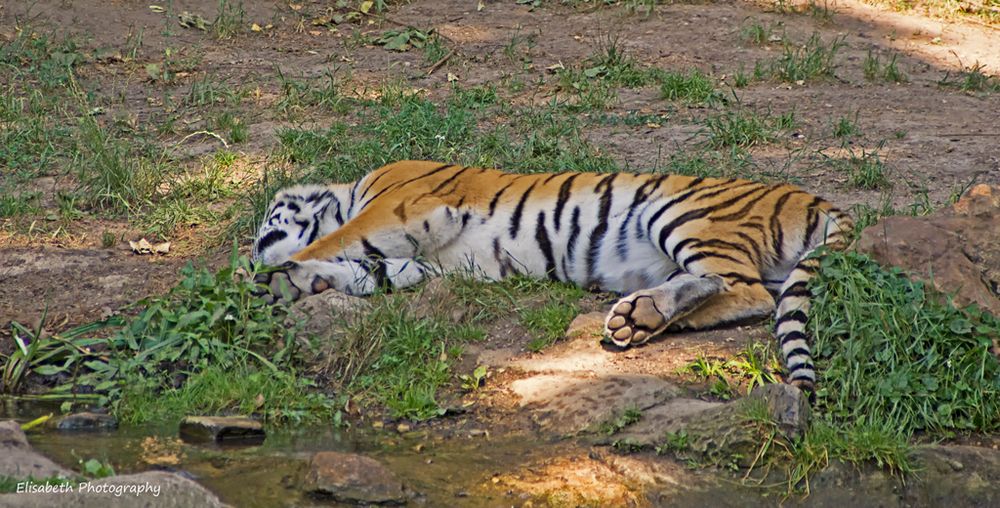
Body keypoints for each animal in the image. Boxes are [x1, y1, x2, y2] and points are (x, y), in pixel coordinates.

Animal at [250, 161, 852, 394]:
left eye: (266, 222)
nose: (253, 249)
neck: (349, 191)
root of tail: (811, 197)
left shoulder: (400, 208)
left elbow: (334, 243)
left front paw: (261, 277)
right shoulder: (415, 261)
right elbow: (361, 269)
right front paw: (295, 283)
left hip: (680, 213)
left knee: (742, 288)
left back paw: (643, 314)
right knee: (742, 292)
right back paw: (641, 319)